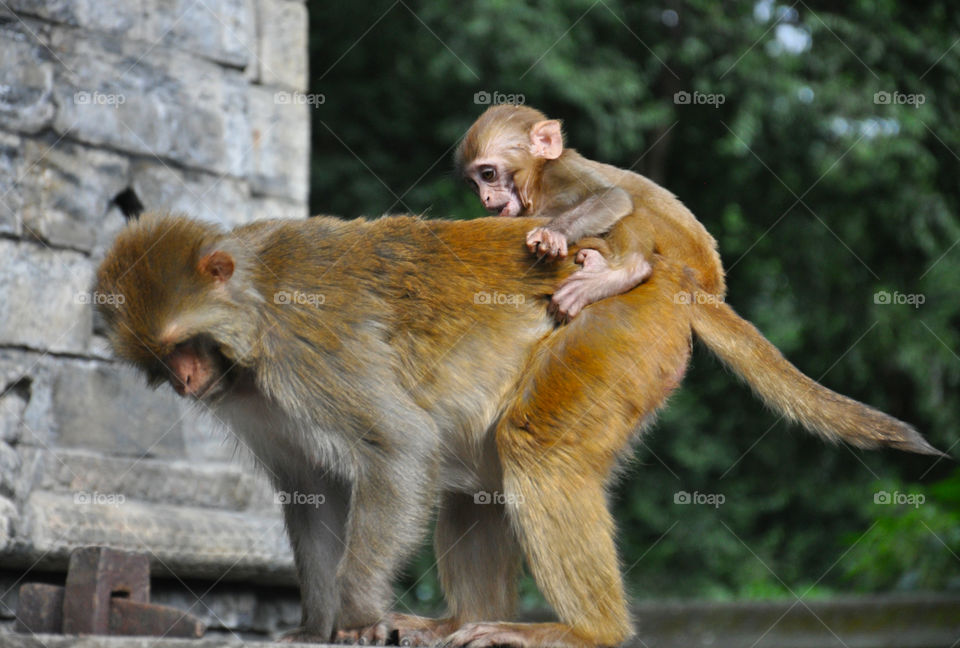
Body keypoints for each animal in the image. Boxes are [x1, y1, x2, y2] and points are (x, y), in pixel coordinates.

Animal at [97, 214, 936, 648]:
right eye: (161, 361)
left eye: (182, 346)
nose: (188, 383)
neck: (250, 322)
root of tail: (668, 278)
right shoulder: (256, 401)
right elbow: (315, 492)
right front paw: (313, 627)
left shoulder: (308, 346)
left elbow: (396, 449)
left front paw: (358, 619)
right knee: (475, 479)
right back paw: (462, 620)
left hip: (613, 328)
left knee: (534, 448)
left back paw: (584, 631)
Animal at [458, 104, 720, 318]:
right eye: (473, 184)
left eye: (488, 174)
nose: (485, 197)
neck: (538, 187)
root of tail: (713, 282)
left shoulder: (562, 170)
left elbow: (613, 196)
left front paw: (552, 233)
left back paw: (627, 271)